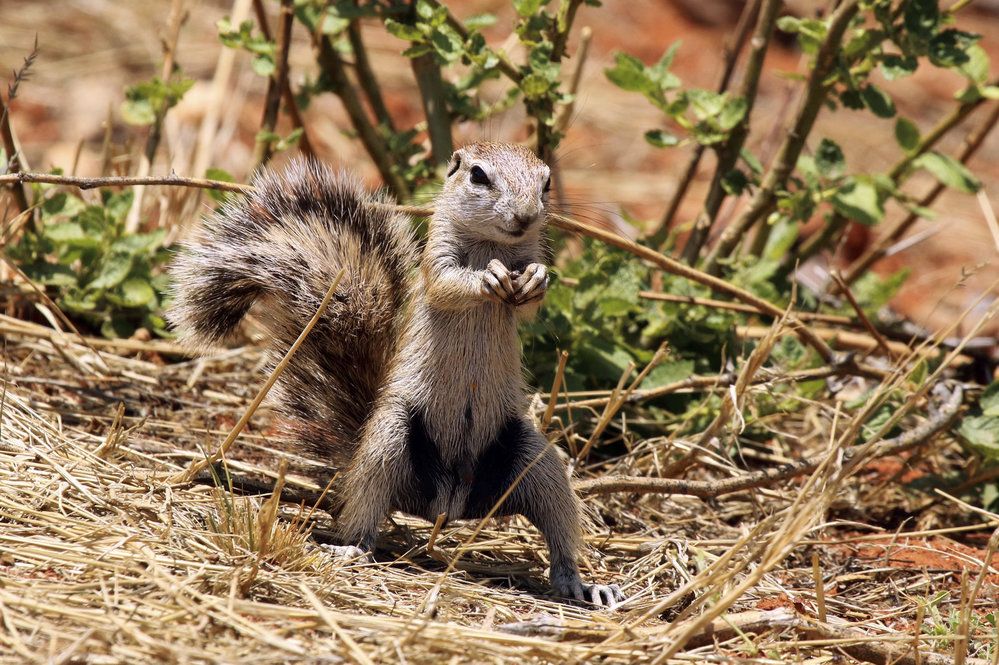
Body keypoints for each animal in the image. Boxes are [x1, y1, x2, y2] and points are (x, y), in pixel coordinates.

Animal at [172, 141, 624, 608]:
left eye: (546, 182)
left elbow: (532, 304)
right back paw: (352, 547)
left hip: (536, 459)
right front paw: (487, 277)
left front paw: (536, 279)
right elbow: (448, 284)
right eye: (478, 176)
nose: (526, 217)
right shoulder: (437, 260)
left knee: (558, 532)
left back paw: (581, 585)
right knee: (365, 513)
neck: (491, 244)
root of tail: (448, 504)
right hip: (389, 442)